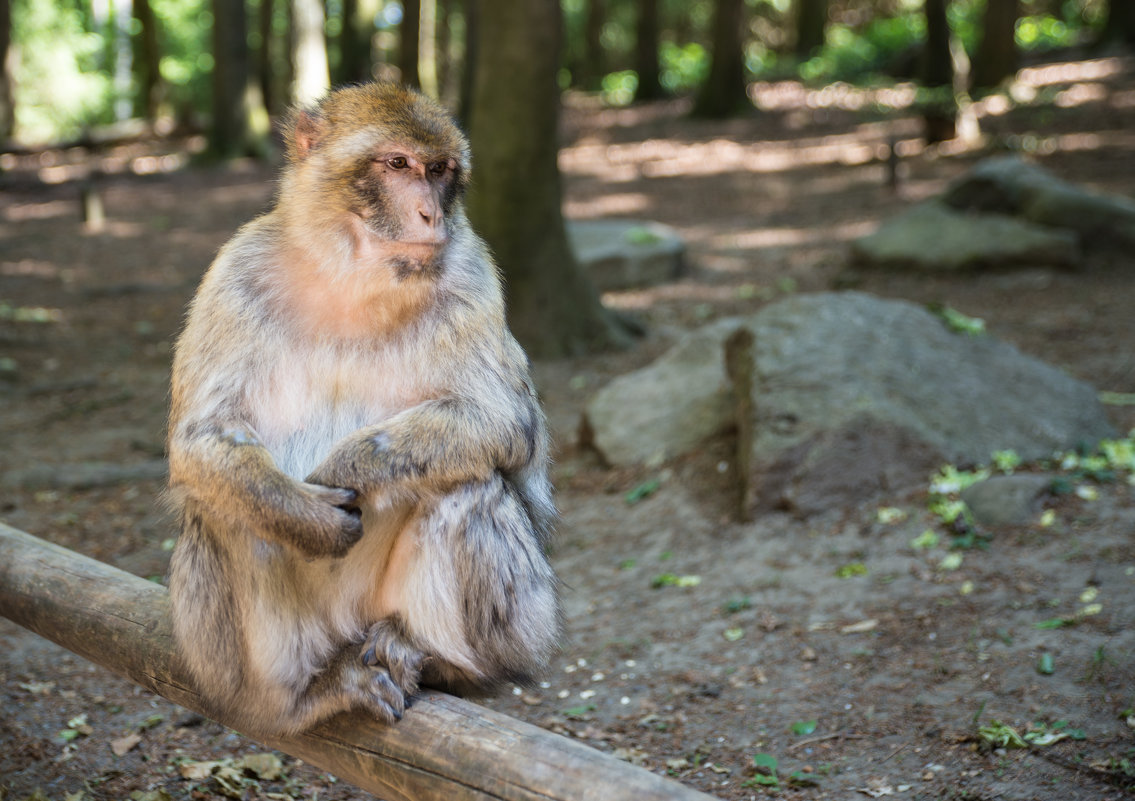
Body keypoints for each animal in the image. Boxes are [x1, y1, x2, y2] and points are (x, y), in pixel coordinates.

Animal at [163, 82, 558, 735]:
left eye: (440, 171)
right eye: (397, 164)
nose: (431, 215)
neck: (353, 278)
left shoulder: (471, 272)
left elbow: (503, 423)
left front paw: (345, 467)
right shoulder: (236, 271)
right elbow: (202, 439)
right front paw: (304, 512)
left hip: (520, 626)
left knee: (468, 482)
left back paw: (432, 656)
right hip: (248, 657)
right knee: (222, 506)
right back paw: (302, 695)